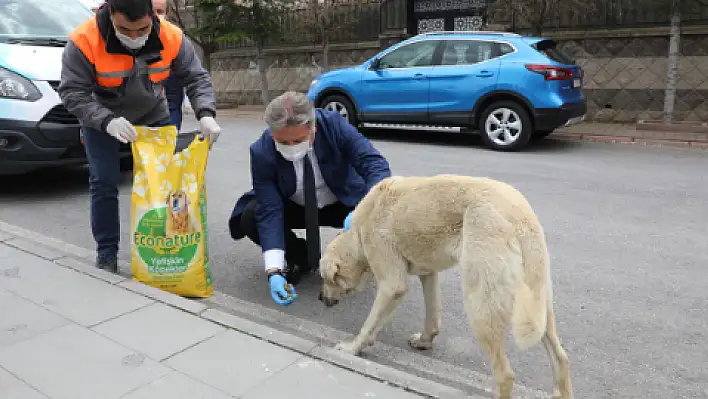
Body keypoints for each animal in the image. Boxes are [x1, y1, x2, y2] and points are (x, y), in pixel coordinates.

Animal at [318, 175, 572, 399]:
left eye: (325, 278)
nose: (320, 297)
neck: (358, 234)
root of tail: (522, 217)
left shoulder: (392, 285)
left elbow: (369, 323)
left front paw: (353, 348)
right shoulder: (428, 274)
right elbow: (431, 313)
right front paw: (424, 340)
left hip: (480, 305)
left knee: (505, 375)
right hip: (539, 305)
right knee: (560, 357)